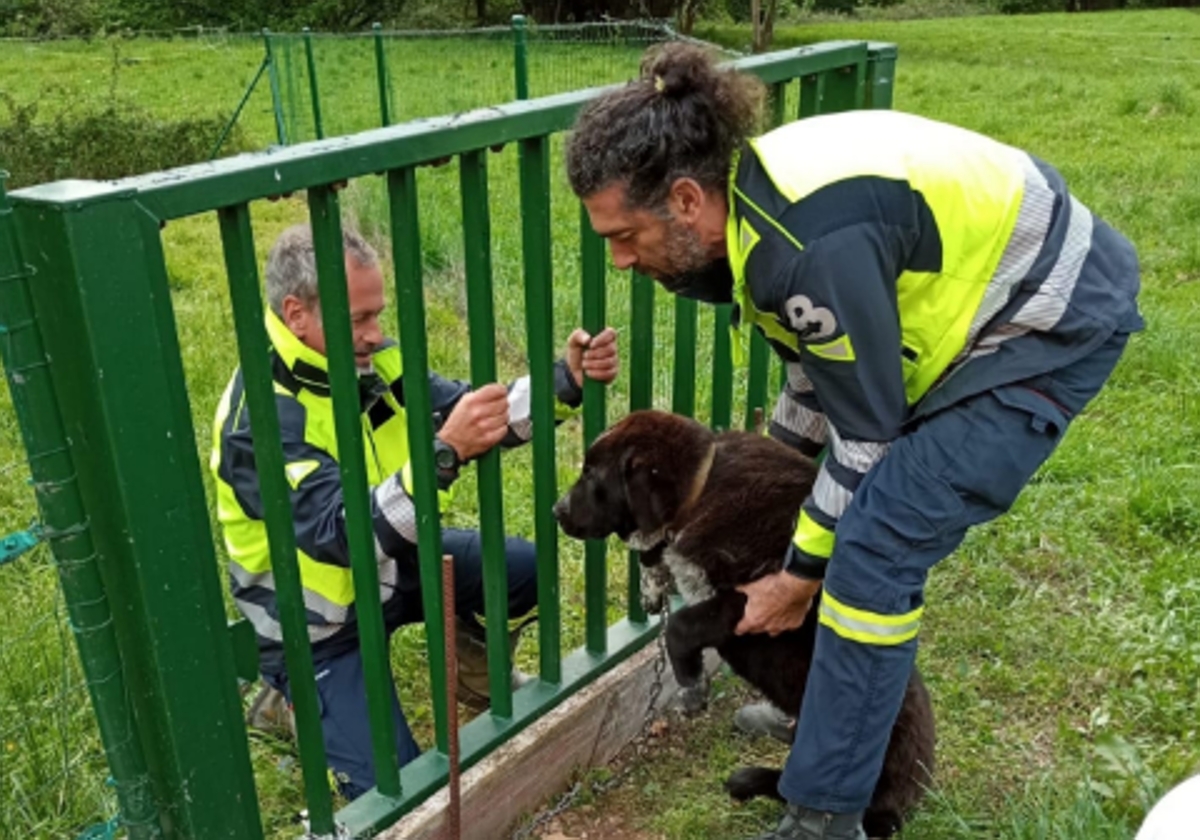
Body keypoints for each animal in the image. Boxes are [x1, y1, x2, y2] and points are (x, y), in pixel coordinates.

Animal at [552, 410, 936, 835]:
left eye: (591, 475)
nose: (556, 511)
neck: (702, 488)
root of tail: (911, 792)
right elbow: (656, 560)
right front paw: (652, 586)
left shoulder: (754, 605)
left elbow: (679, 626)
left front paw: (692, 687)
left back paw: (756, 785)